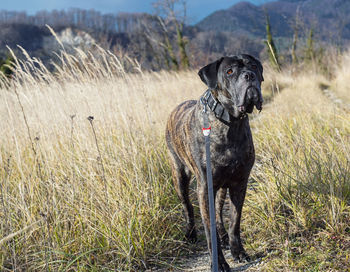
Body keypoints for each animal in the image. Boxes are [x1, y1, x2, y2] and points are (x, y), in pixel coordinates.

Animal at [166, 54, 262, 270]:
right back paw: (190, 234)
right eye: (229, 71)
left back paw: (224, 237)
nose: (249, 76)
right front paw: (219, 263)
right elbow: (209, 232)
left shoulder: (239, 183)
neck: (230, 123)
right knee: (188, 207)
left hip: (221, 188)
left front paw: (238, 251)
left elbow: (234, 221)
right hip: (180, 175)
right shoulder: (205, 187)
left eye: (253, 66)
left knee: (218, 213)